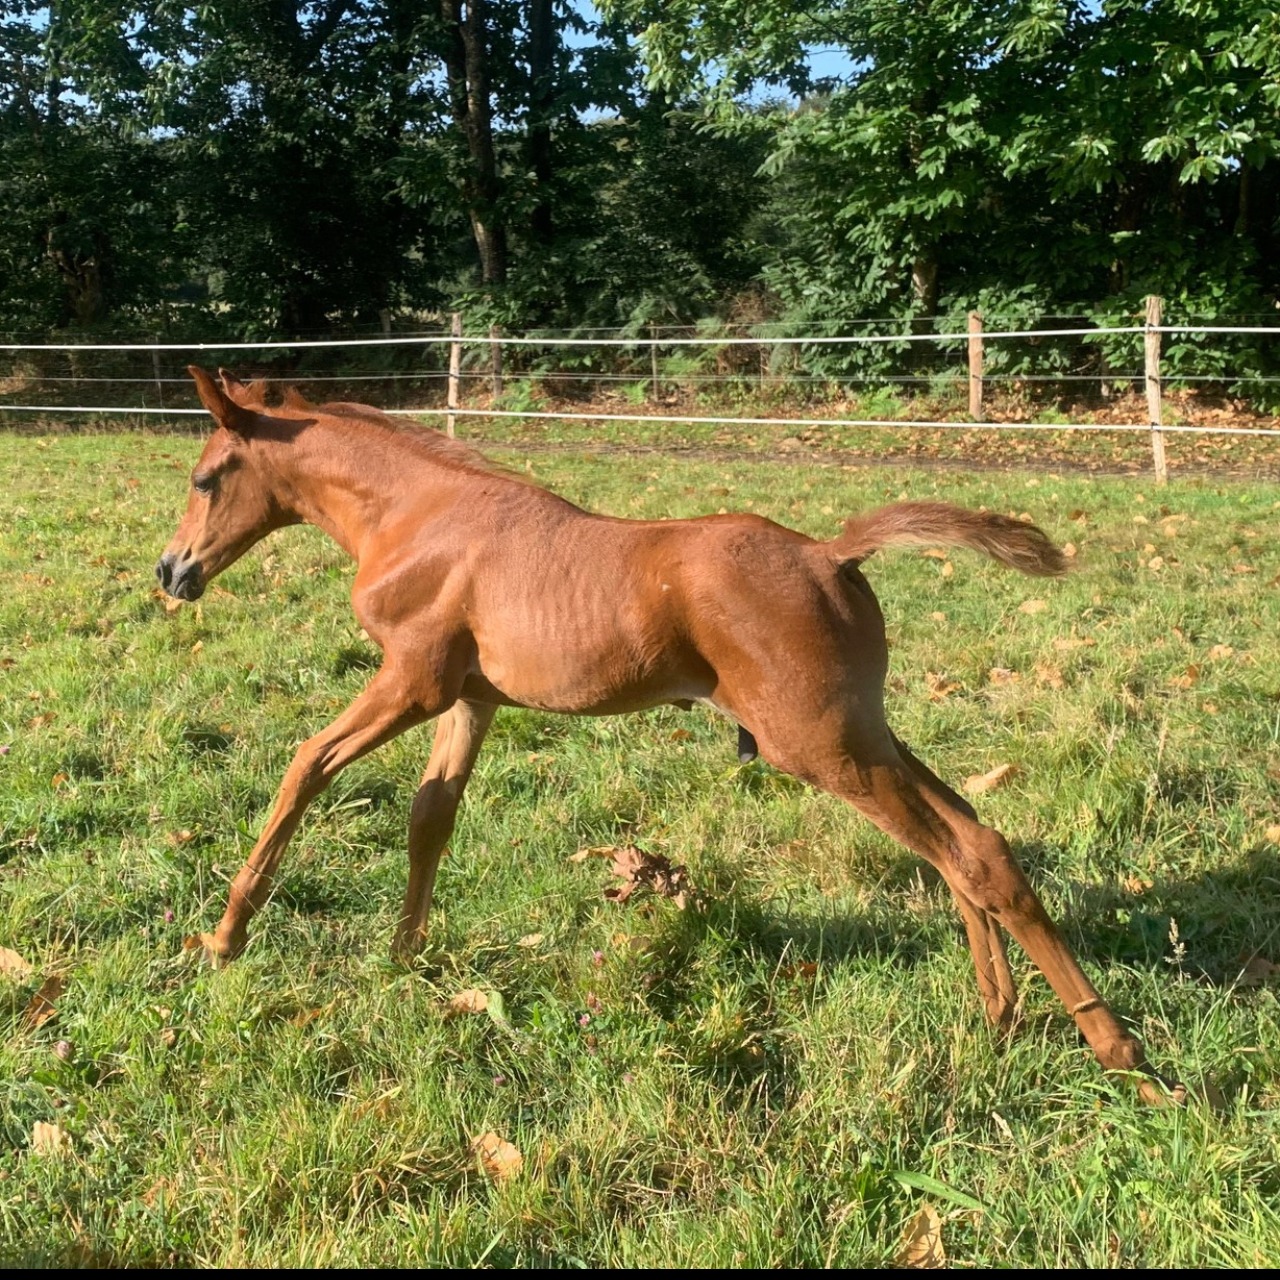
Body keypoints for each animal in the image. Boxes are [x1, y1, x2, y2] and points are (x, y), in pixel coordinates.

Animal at [157, 363, 1177, 1100]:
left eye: (207, 478)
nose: (172, 573)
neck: (419, 516)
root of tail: (828, 552)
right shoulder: (472, 699)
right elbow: (430, 818)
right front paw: (404, 958)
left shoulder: (410, 681)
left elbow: (305, 767)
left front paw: (223, 938)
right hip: (865, 732)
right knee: (973, 843)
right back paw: (1002, 1017)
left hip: (822, 748)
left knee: (970, 854)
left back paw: (1122, 1057)